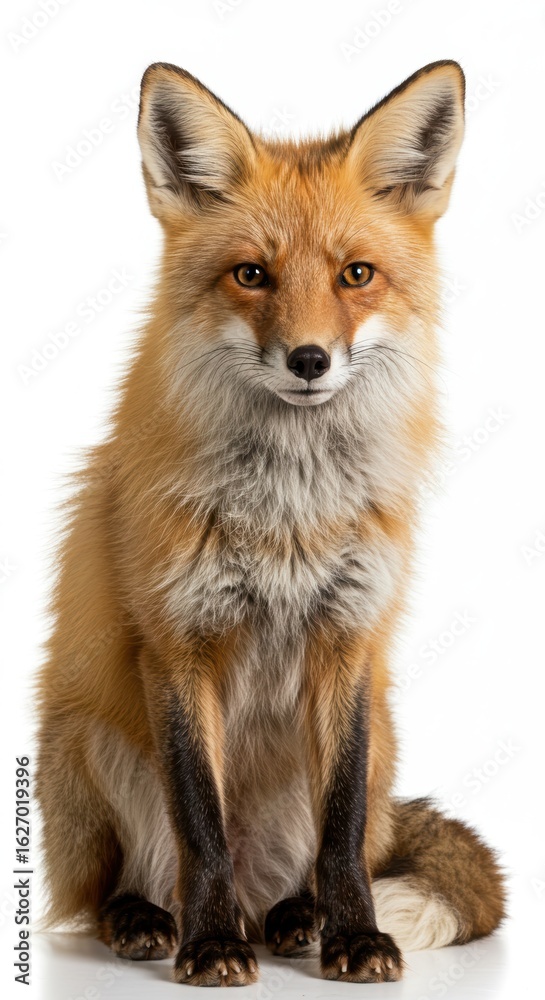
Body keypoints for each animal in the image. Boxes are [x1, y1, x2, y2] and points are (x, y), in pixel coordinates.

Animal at [36, 60, 505, 986]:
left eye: (355, 274)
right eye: (251, 275)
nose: (309, 360)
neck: (291, 511)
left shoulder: (351, 638)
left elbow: (341, 828)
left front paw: (355, 936)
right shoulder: (177, 643)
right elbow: (200, 823)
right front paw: (209, 946)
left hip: (381, 737)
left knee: (337, 850)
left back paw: (298, 917)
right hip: (79, 748)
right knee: (122, 884)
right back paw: (155, 920)